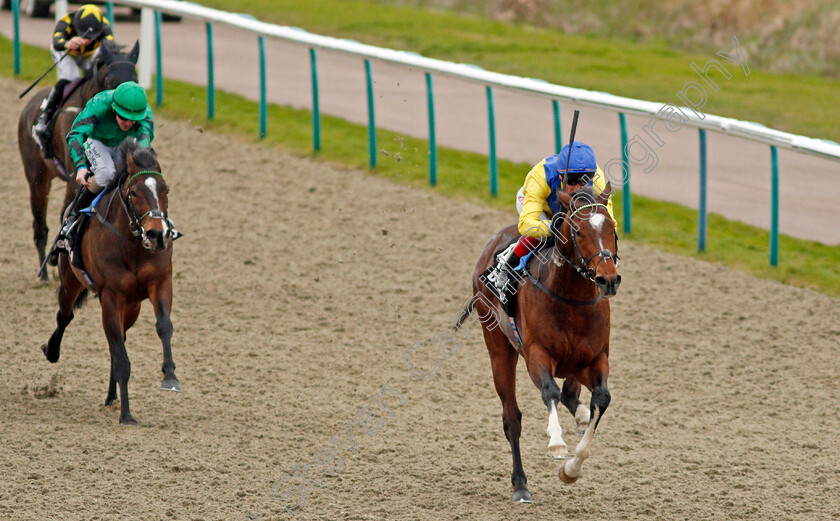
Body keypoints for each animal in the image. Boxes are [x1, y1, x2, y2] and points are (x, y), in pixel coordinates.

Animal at [17, 40, 139, 278]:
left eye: (135, 78)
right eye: (110, 80)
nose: (128, 116)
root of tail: (30, 105)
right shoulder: (75, 174)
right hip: (37, 177)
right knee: (39, 222)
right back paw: (43, 270)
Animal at [40, 139, 181, 426]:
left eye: (166, 191)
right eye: (134, 193)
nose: (157, 234)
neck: (133, 244)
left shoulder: (160, 282)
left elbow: (164, 326)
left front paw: (170, 377)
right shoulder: (110, 296)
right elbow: (121, 356)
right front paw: (126, 414)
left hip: (132, 305)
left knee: (119, 340)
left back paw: (111, 395)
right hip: (71, 281)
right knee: (65, 315)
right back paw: (52, 350)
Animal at [462, 185, 620, 502]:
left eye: (611, 227)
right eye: (579, 231)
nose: (608, 280)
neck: (573, 299)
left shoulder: (595, 359)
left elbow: (601, 399)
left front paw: (571, 469)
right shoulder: (537, 354)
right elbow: (550, 392)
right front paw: (557, 444)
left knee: (571, 394)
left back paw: (580, 415)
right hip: (498, 346)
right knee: (512, 417)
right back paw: (520, 484)